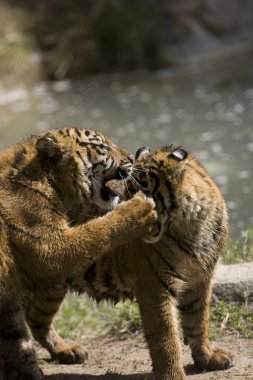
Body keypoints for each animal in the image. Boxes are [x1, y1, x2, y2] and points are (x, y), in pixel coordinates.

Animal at [0, 128, 158, 380]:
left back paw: (67, 350)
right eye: (102, 147)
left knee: (35, 319)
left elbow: (14, 340)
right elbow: (96, 231)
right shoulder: (48, 249)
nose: (132, 158)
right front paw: (138, 209)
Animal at [68, 145, 234, 380]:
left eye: (140, 193)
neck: (192, 226)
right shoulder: (155, 285)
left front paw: (207, 358)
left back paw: (67, 352)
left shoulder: (201, 279)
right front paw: (174, 376)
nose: (122, 216)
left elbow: (198, 320)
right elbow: (165, 339)